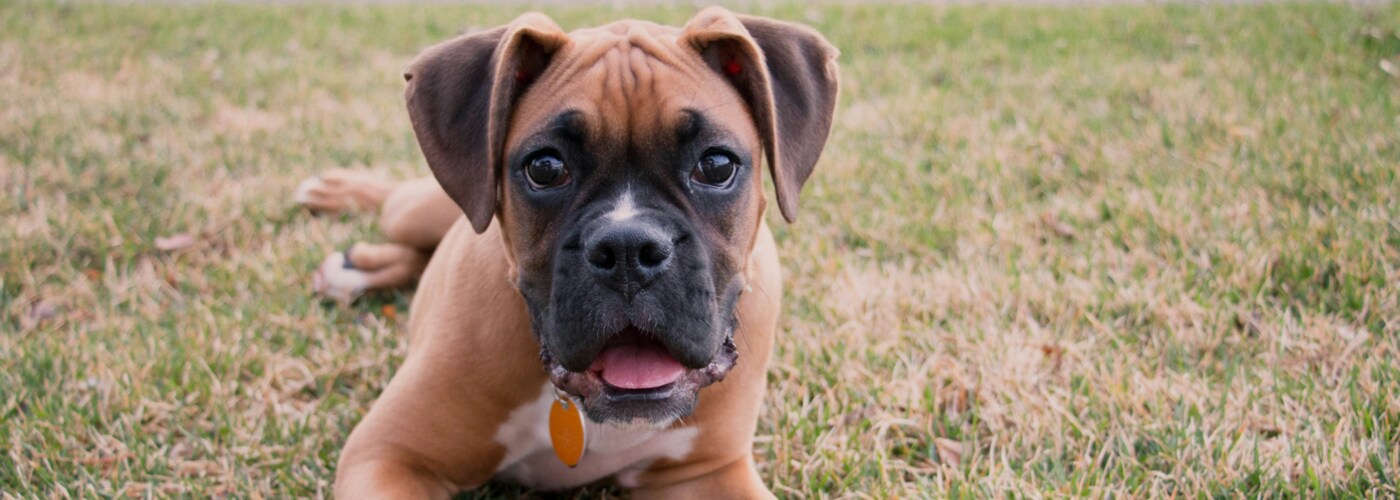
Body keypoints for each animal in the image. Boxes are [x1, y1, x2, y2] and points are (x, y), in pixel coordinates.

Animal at [299, 7, 834, 495]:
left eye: (717, 165)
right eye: (545, 168)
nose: (628, 248)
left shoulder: (707, 473)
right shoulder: (387, 455)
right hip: (413, 209)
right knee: (394, 202)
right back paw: (340, 200)